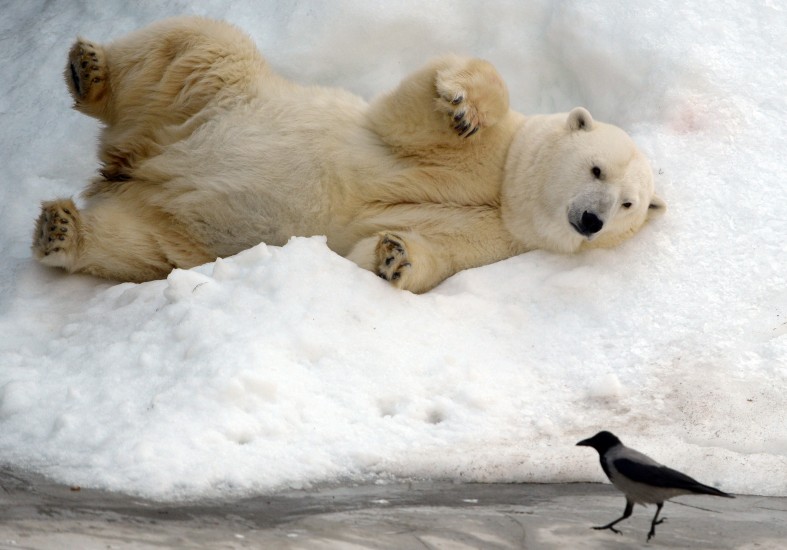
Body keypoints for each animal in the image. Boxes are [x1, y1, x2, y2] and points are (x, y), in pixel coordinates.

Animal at [35, 16, 664, 294]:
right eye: (596, 168)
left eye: (629, 204)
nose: (591, 220)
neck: (505, 192)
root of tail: (134, 163)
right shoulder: (469, 152)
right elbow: (410, 114)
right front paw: (463, 105)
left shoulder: (497, 240)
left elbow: (423, 251)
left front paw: (394, 256)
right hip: (218, 98)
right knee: (198, 46)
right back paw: (91, 69)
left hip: (178, 227)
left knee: (143, 245)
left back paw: (64, 230)